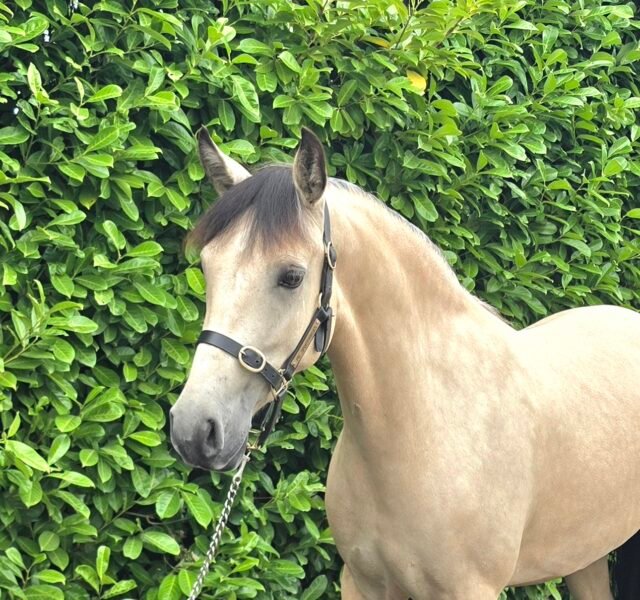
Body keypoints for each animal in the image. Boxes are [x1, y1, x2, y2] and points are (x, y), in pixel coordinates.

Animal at [170, 127, 640, 599]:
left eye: (291, 277)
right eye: (207, 268)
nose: (194, 428)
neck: (425, 424)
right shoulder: (362, 583)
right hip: (584, 555)